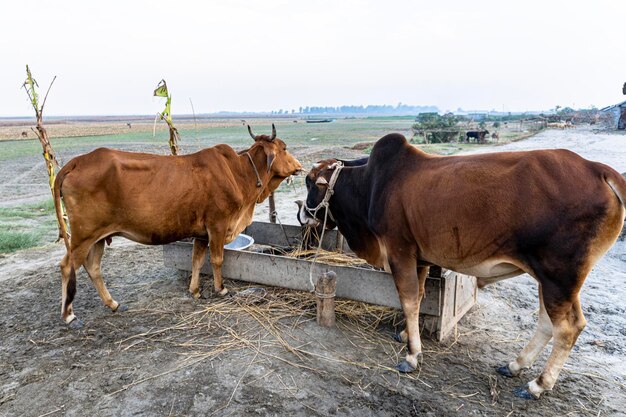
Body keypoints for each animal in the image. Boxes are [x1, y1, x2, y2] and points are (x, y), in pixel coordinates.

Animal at [52, 123, 302, 328]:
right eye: (284, 147)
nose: (299, 166)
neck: (240, 174)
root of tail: (78, 161)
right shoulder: (218, 225)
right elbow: (216, 259)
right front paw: (220, 289)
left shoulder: (202, 233)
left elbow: (197, 260)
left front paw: (195, 290)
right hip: (83, 236)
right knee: (67, 266)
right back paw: (69, 315)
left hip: (99, 237)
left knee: (93, 267)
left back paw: (112, 303)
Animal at [298, 133, 624, 400]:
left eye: (311, 183)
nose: (302, 216)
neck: (370, 184)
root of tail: (599, 170)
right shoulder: (419, 259)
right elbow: (417, 299)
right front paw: (406, 335)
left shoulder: (400, 252)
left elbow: (408, 300)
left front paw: (412, 355)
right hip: (554, 280)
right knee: (550, 322)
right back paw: (515, 364)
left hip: (559, 276)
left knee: (567, 328)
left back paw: (538, 384)